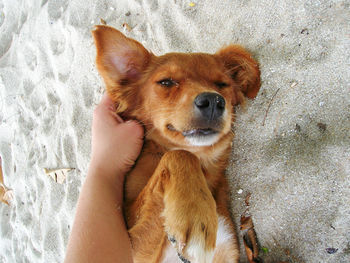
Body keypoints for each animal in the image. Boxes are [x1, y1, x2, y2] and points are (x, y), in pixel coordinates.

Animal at [92, 25, 260, 263]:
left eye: (222, 84)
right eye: (166, 82)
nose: (213, 101)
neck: (202, 168)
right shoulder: (128, 249)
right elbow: (178, 154)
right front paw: (195, 214)